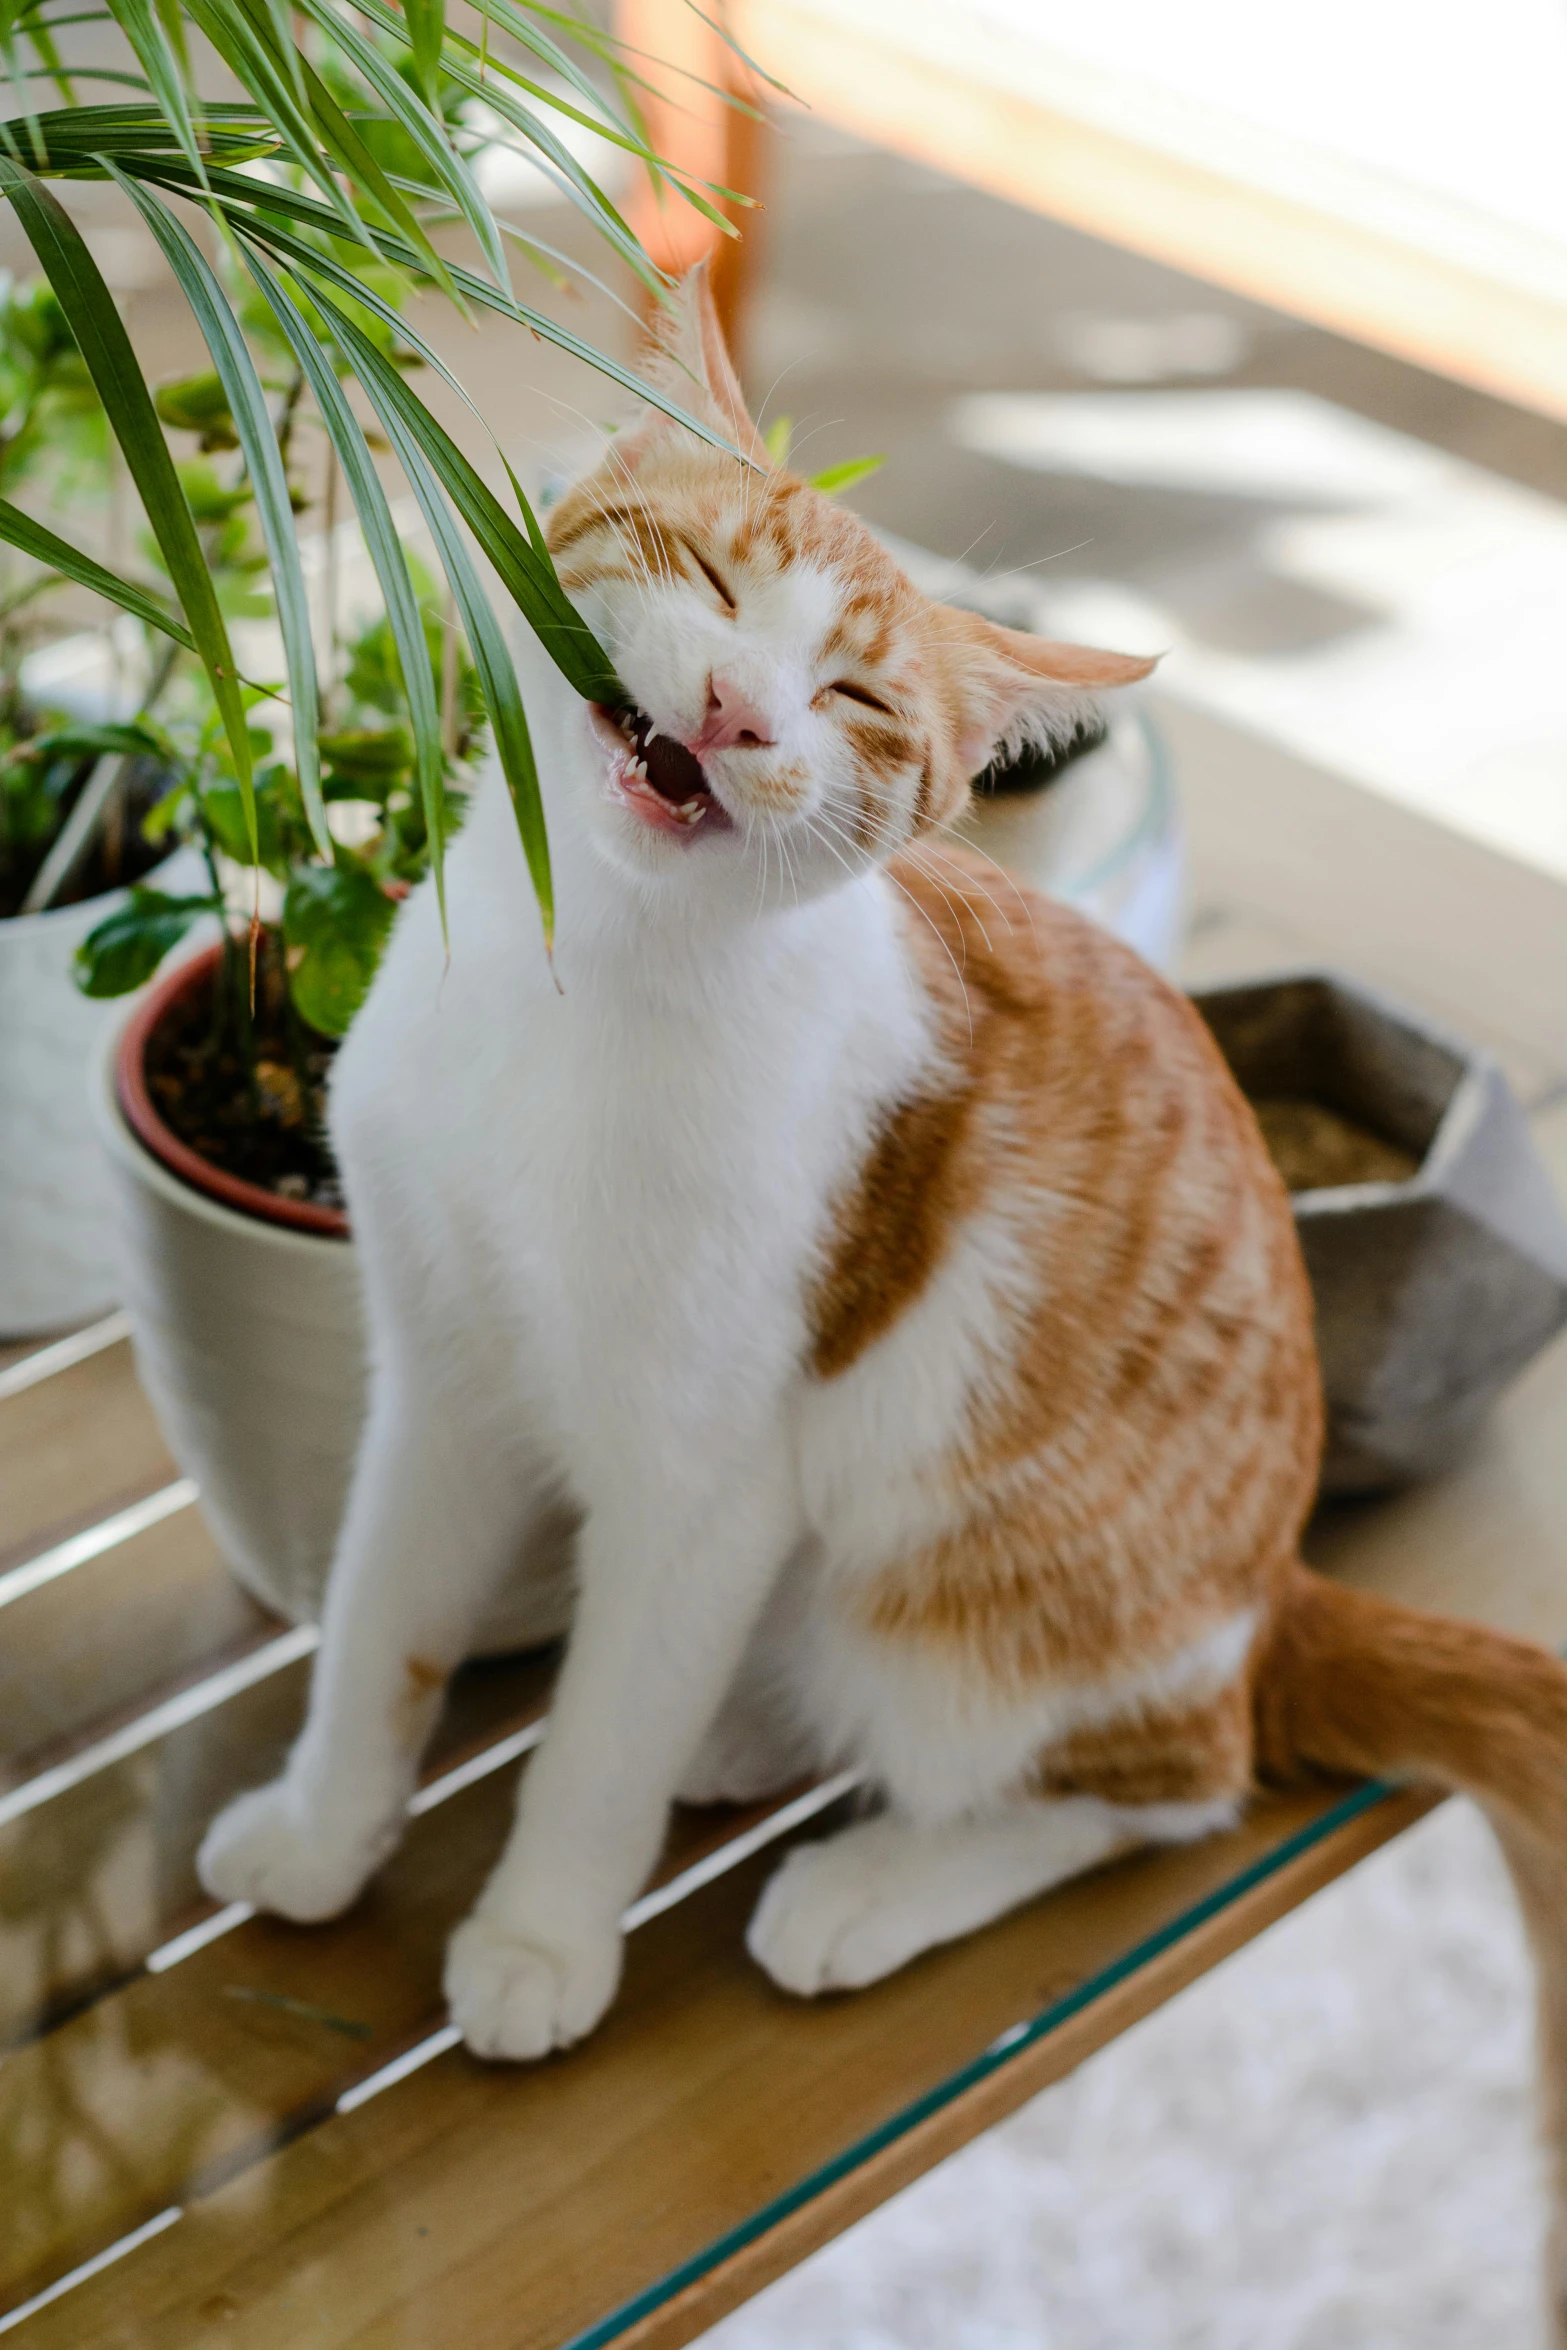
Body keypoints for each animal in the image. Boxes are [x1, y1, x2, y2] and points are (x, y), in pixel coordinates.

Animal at [202, 266, 1567, 2321]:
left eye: (851, 700)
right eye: (699, 565)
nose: (737, 709)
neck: (583, 985)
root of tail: (1273, 1590)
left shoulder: (708, 1461)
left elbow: (592, 1741)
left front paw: (539, 1934)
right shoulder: (433, 1368)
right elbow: (384, 1630)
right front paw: (320, 1828)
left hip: (967, 1585)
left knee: (1163, 1783)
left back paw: (868, 1879)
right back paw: (746, 1735)